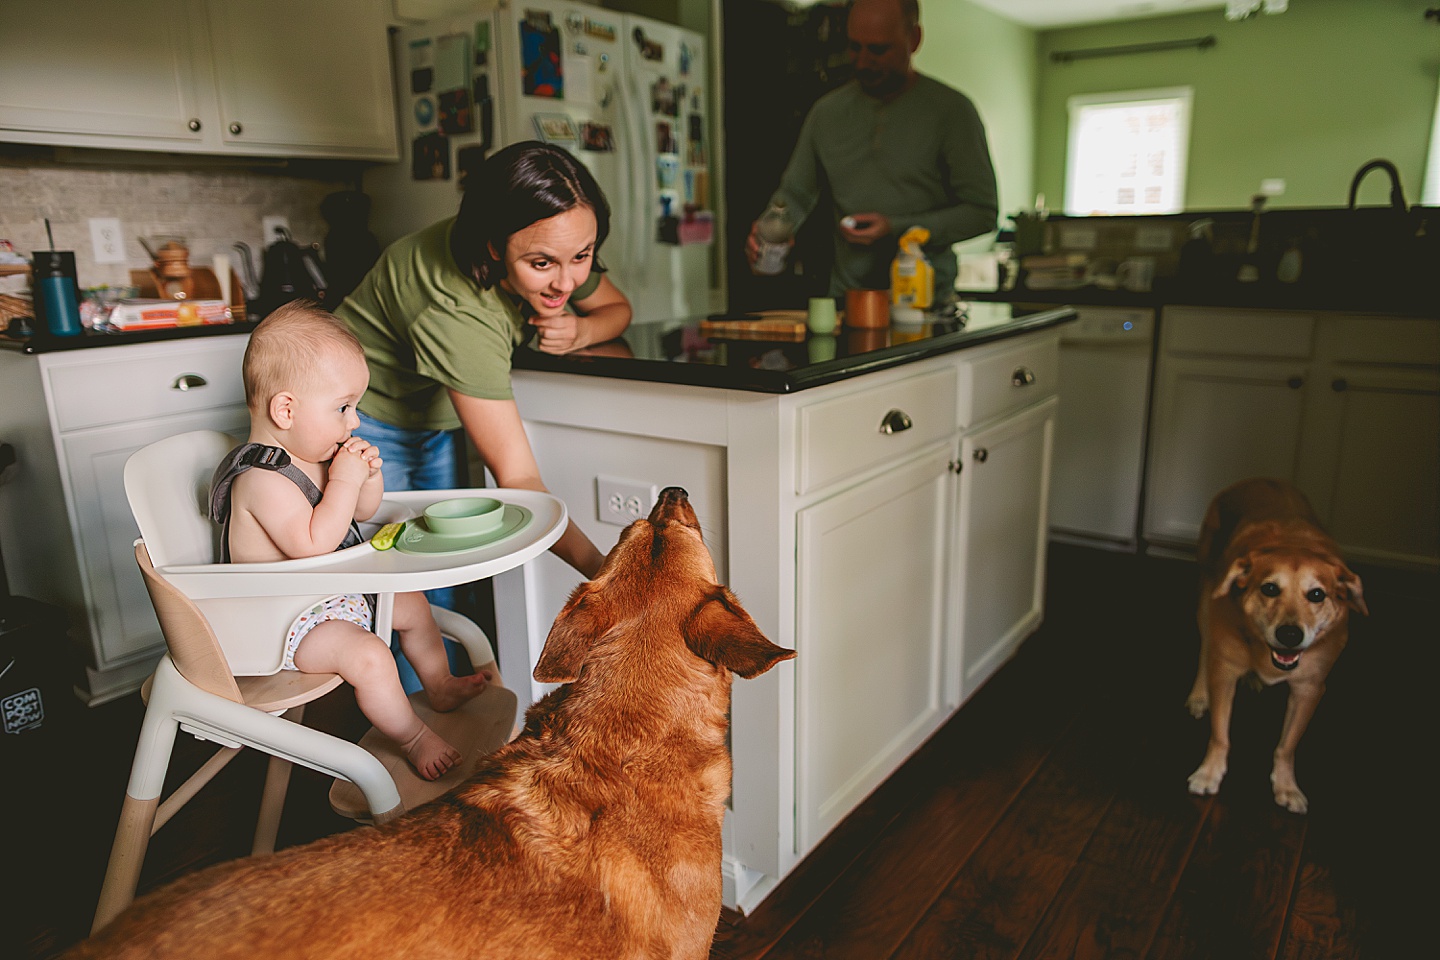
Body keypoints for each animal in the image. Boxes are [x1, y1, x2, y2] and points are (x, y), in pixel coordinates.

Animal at [1186, 477, 1365, 817]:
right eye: (1269, 589)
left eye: (1317, 594)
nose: (1290, 635)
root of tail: (1257, 480)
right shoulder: (1225, 672)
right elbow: (1220, 734)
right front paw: (1209, 773)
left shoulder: (1309, 689)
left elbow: (1287, 745)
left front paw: (1286, 786)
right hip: (1205, 594)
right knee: (1203, 649)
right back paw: (1200, 696)